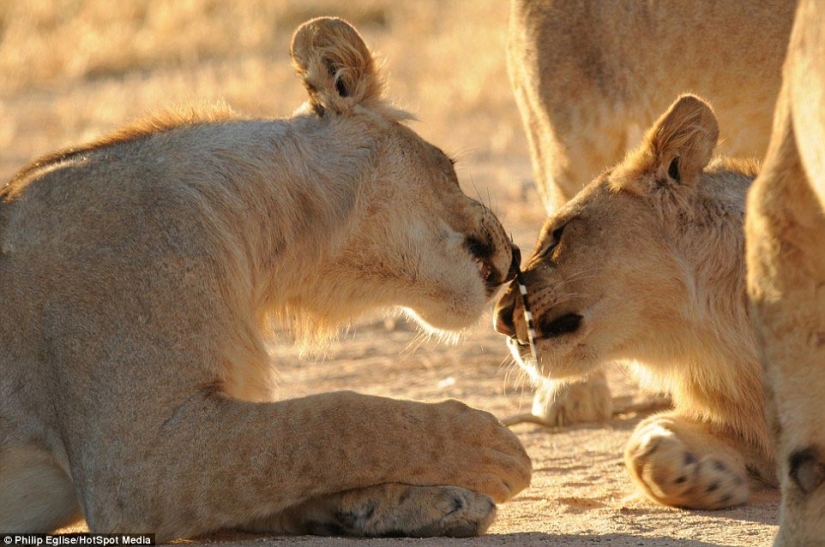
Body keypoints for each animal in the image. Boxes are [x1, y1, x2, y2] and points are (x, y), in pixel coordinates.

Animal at [0, 17, 531, 540]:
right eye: (451, 165)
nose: (517, 253)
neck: (262, 259)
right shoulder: (133, 465)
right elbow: (329, 422)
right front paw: (489, 447)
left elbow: (295, 473)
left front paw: (434, 502)